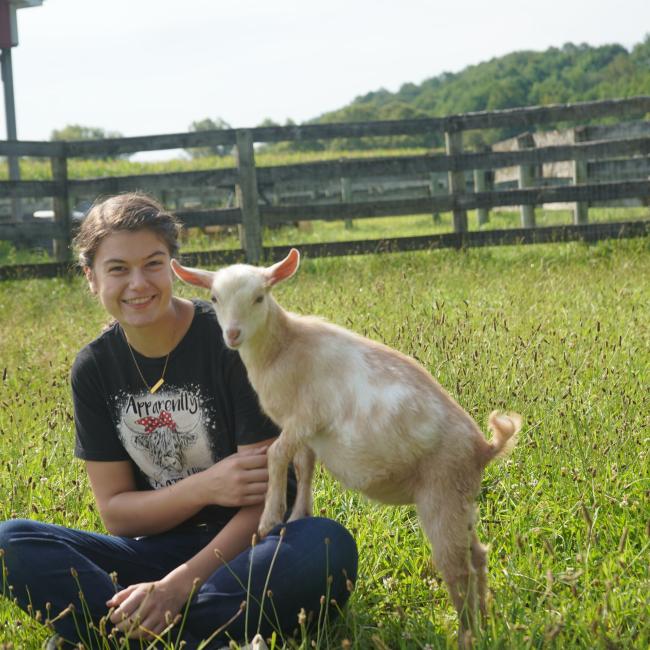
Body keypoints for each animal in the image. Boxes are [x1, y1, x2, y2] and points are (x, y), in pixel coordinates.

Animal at [170, 251, 520, 640]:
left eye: (260, 297)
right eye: (214, 298)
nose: (233, 334)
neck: (285, 347)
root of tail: (484, 449)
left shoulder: (306, 417)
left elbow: (276, 454)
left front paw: (270, 519)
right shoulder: (305, 431)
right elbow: (303, 466)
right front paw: (298, 515)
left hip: (441, 494)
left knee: (458, 569)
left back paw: (467, 634)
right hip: (462, 499)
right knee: (478, 555)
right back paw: (485, 623)